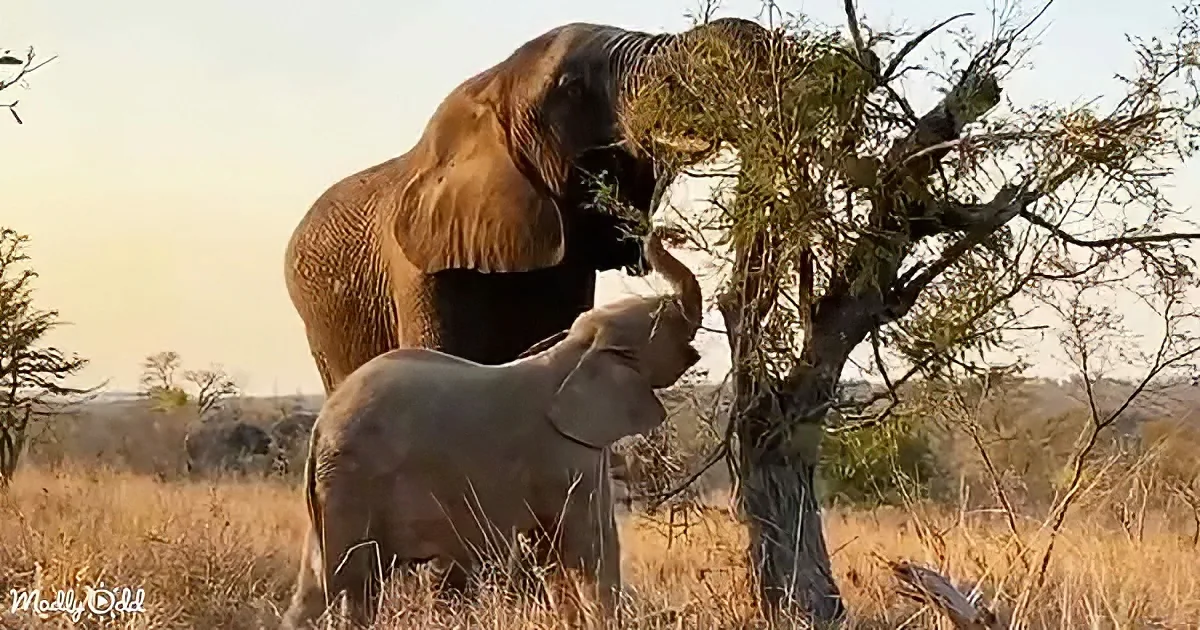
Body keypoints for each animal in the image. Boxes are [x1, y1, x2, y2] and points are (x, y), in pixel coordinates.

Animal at [280, 229, 703, 629]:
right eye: (664, 321)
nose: (659, 231)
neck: (579, 350)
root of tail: (319, 428)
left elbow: (552, 558)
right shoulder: (568, 453)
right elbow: (591, 549)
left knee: (326, 586)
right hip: (353, 484)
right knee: (347, 582)